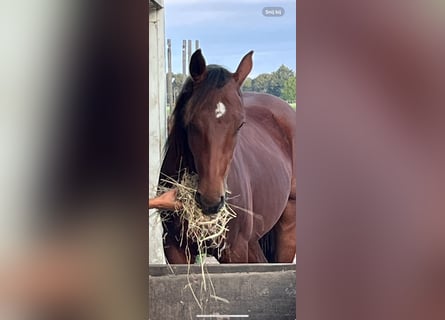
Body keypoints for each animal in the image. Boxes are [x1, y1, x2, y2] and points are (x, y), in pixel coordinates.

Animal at [158, 50, 296, 264]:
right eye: (192, 123)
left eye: (240, 124)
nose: (211, 200)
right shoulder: (174, 249)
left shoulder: (235, 251)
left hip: (288, 230)